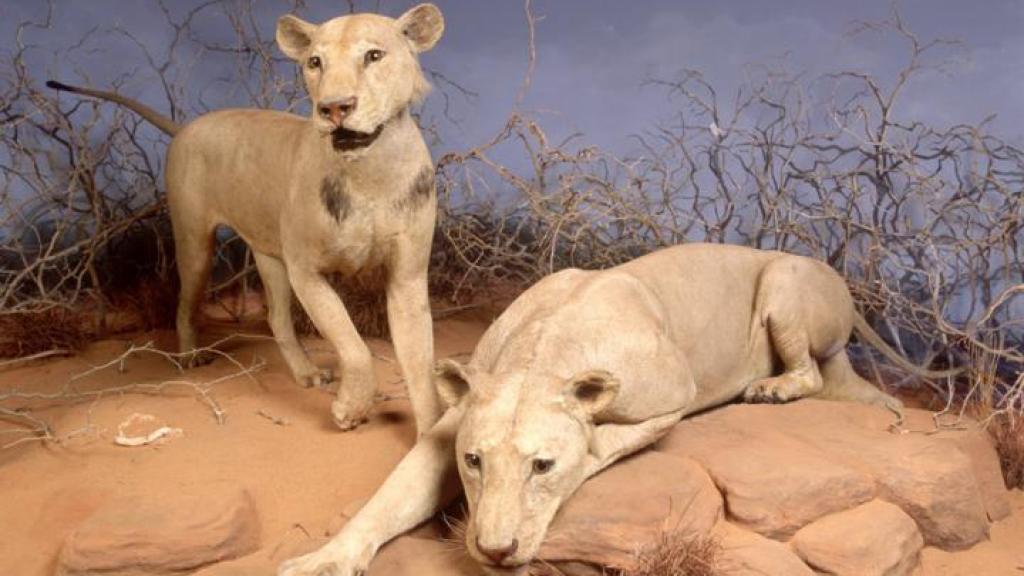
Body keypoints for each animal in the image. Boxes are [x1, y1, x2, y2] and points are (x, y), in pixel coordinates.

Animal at [48, 4, 447, 433]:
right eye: (315, 62)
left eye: (374, 55)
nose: (334, 108)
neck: (370, 173)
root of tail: (187, 126)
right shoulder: (307, 270)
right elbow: (353, 344)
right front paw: (352, 408)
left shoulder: (407, 276)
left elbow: (420, 362)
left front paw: (431, 434)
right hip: (196, 243)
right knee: (185, 304)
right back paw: (189, 358)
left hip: (269, 256)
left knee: (276, 317)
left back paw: (306, 373)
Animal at [278, 243, 959, 575]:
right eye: (474, 462)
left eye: (543, 466)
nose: (495, 551)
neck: (540, 355)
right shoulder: (450, 428)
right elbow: (388, 500)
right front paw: (324, 560)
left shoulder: (672, 396)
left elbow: (601, 446)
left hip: (786, 284)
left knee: (814, 372)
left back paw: (767, 390)